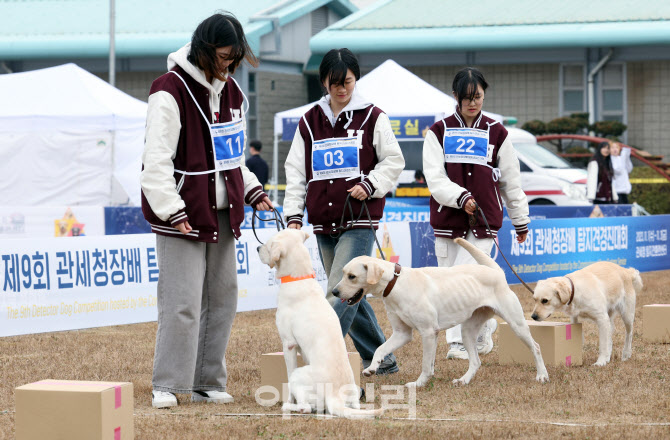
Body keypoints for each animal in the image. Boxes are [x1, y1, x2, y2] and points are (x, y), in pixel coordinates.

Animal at [258, 229, 384, 418]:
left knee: (305, 407)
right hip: (353, 395)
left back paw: (288, 407)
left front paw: (288, 400)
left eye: (268, 244)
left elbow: (288, 377)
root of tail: (335, 397)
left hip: (299, 375)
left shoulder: (288, 344)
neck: (299, 278)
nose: (257, 248)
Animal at [332, 237, 552, 388]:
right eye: (343, 273)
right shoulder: (402, 334)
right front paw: (371, 368)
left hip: (517, 325)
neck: (395, 283)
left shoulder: (429, 333)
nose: (334, 292)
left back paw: (542, 375)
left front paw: (418, 384)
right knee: (476, 361)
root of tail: (496, 272)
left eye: (352, 276)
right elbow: (380, 349)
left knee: (536, 347)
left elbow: (425, 365)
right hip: (467, 331)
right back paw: (463, 380)